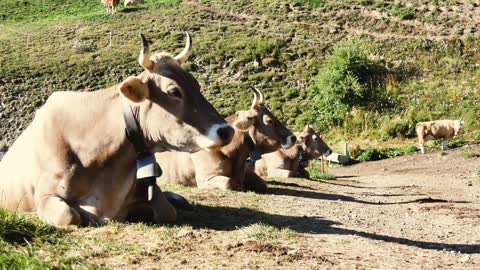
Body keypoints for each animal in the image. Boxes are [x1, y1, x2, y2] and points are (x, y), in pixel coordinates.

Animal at [0, 32, 234, 228]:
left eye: (196, 85)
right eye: (174, 91)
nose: (227, 131)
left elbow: (167, 211)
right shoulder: (45, 195)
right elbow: (69, 215)